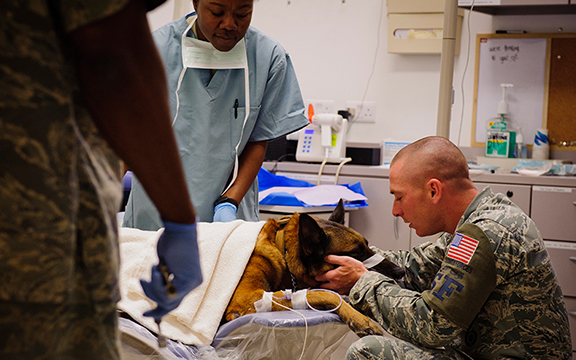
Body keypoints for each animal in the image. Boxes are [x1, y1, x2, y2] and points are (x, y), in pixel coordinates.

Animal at [225, 200, 404, 338]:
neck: (281, 249)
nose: (401, 272)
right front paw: (358, 318)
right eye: (355, 252)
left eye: (367, 244)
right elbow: (327, 294)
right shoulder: (248, 298)